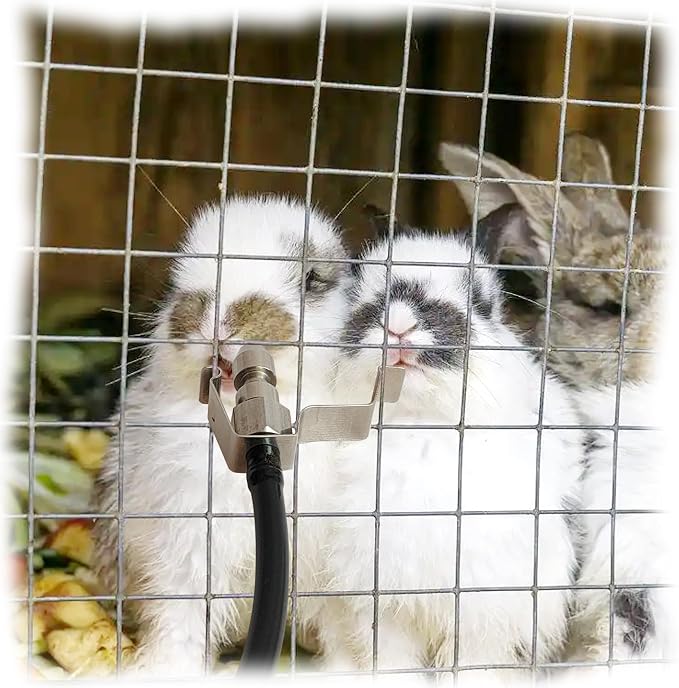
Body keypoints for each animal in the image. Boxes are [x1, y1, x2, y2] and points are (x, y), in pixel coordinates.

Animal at [90, 195, 352, 676]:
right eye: (180, 274)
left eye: (312, 280)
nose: (217, 325)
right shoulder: (188, 546)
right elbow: (182, 614)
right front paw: (168, 667)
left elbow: (343, 629)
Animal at [302, 206, 586, 684]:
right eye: (365, 292)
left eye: (482, 302)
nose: (399, 325)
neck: (420, 427)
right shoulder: (382, 607)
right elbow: (391, 660)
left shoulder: (487, 615)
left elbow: (475, 663)